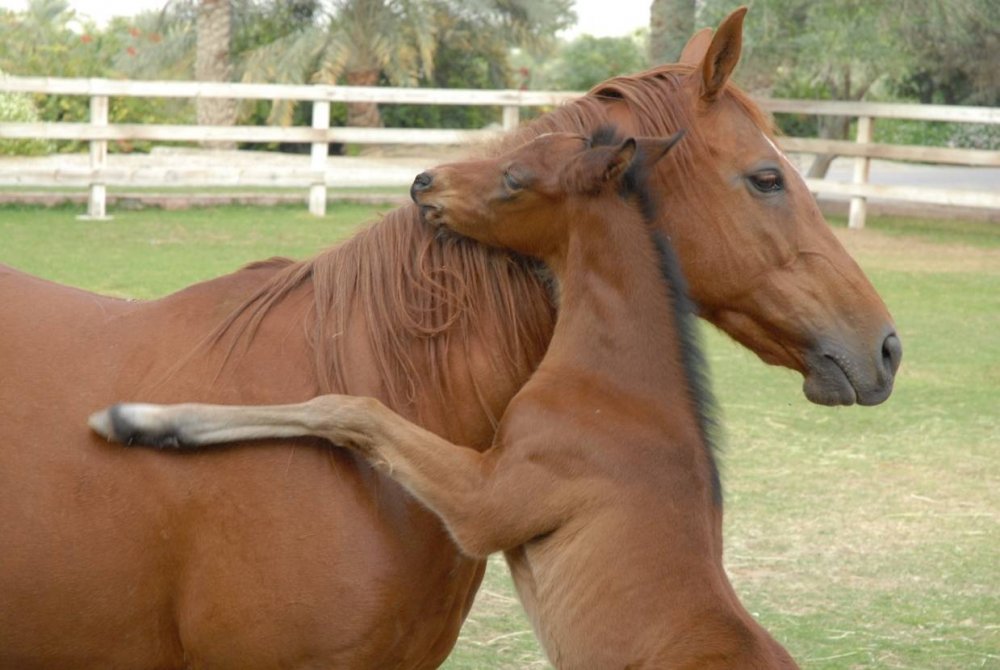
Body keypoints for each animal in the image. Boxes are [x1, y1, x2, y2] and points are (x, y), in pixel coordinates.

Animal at [92, 124, 796, 668]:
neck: (620, 388)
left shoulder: (486, 505)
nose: (424, 182)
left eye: (515, 176)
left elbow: (349, 408)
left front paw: (140, 419)